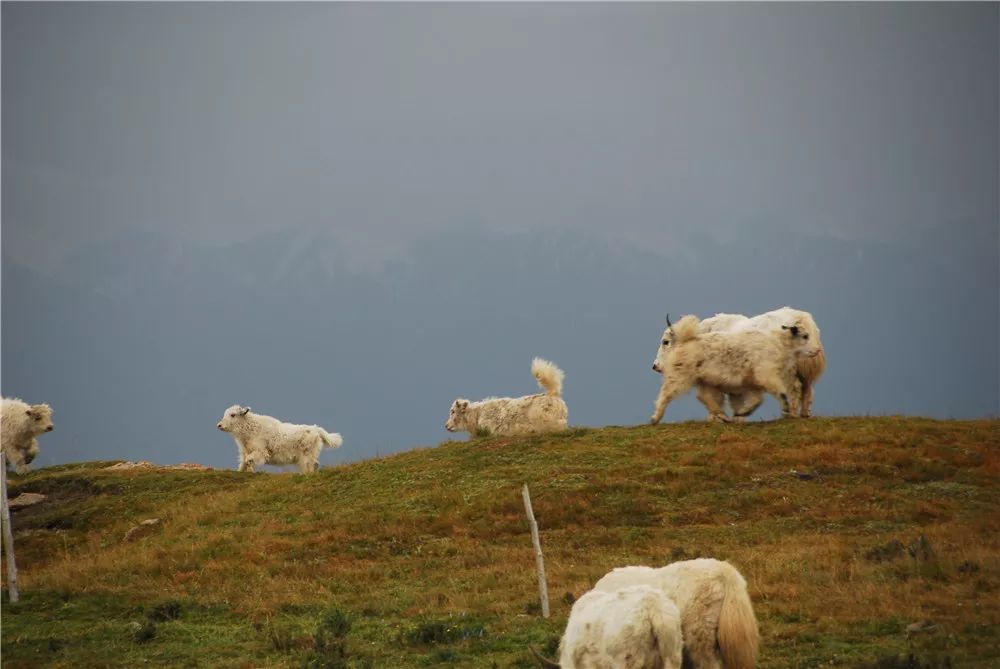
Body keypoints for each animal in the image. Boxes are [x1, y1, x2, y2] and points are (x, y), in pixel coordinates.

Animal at [216, 404, 344, 472]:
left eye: (233, 415)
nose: (219, 425)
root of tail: (317, 429)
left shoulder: (260, 451)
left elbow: (249, 460)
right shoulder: (244, 452)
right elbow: (243, 464)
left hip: (306, 455)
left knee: (310, 466)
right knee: (315, 464)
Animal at [652, 314, 808, 422]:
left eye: (665, 342)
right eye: (805, 336)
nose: (655, 366)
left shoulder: (752, 384)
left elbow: (755, 400)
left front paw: (739, 415)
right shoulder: (761, 378)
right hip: (684, 378)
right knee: (669, 394)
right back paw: (655, 418)